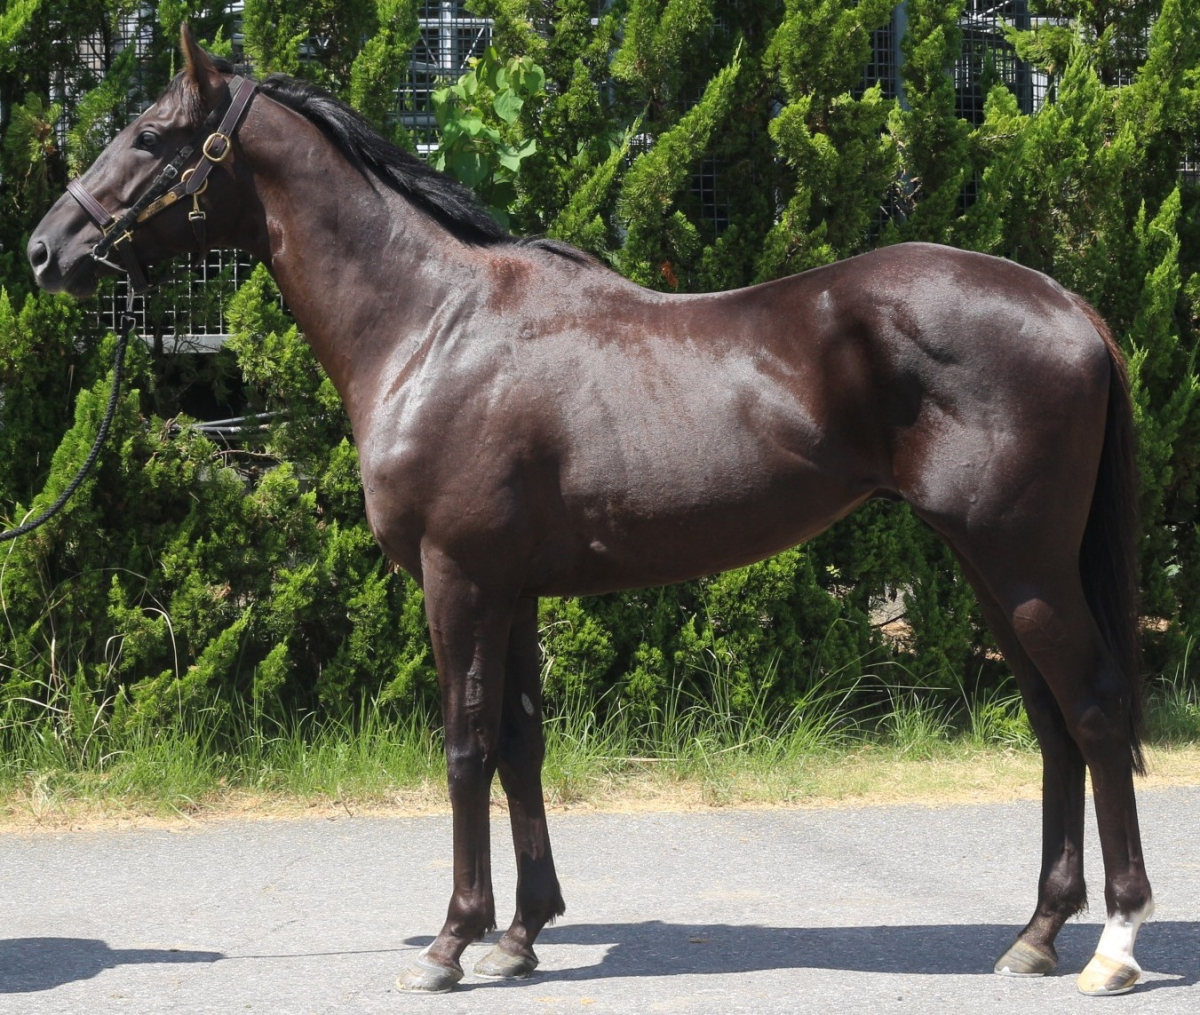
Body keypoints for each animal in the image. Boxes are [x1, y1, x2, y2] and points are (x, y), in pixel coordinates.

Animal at [28, 26, 1153, 997]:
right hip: (990, 566)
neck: (432, 326)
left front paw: (451, 940)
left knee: (1097, 711)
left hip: (1022, 564)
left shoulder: (458, 577)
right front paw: (521, 935)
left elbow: (465, 745)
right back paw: (1036, 933)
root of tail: (1071, 307)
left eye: (149, 135)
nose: (46, 250)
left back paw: (1115, 944)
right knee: (1053, 723)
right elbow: (522, 743)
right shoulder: (513, 587)